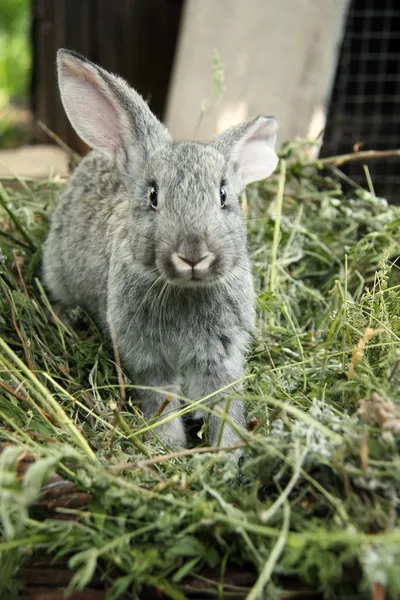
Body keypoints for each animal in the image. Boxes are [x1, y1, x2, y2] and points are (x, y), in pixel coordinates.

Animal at [41, 49, 278, 448]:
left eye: (224, 196)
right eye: (153, 196)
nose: (194, 254)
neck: (185, 289)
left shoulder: (220, 357)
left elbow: (224, 404)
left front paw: (228, 451)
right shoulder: (147, 360)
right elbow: (161, 404)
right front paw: (169, 446)